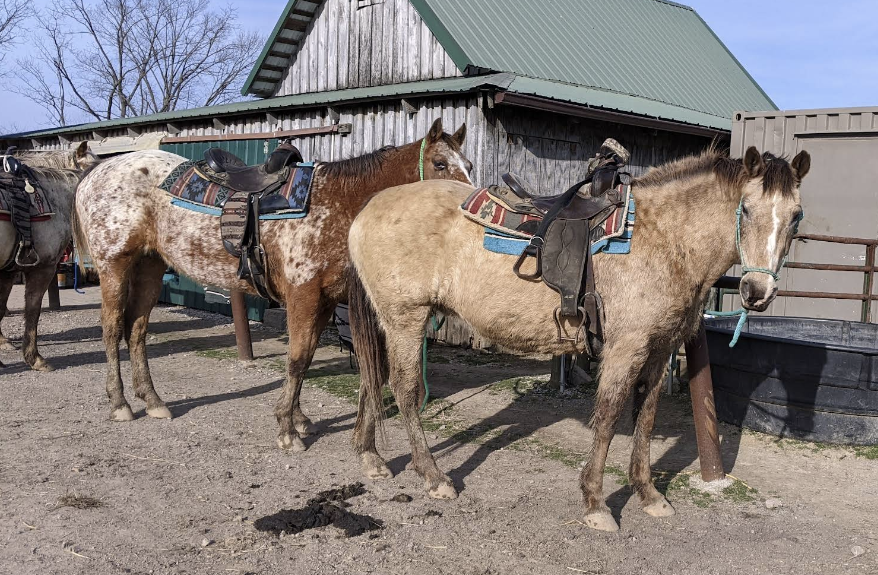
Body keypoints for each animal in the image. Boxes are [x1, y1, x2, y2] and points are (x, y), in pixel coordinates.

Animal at [73, 118, 472, 452]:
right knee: (112, 329)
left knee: (137, 331)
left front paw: (297, 418)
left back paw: (153, 401)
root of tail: (97, 171)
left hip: (149, 267)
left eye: (467, 164)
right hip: (114, 266)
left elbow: (306, 358)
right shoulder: (303, 295)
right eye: (440, 164)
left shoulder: (325, 299)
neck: (336, 204)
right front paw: (286, 429)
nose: (466, 205)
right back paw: (120, 403)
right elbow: (296, 359)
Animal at [347, 146, 810, 531]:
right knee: (404, 389)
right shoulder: (625, 348)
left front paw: (648, 495)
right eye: (745, 208)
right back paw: (434, 476)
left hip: (391, 321)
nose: (756, 291)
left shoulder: (659, 351)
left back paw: (370, 458)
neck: (664, 239)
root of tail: (367, 210)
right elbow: (607, 417)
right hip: (406, 319)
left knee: (372, 377)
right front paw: (595, 503)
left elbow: (645, 417)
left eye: (796, 216)